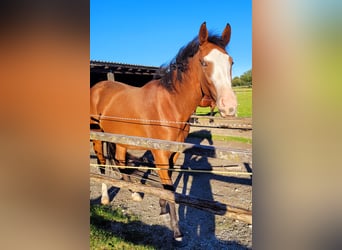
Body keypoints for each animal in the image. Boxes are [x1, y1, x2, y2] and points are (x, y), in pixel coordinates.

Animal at [89, 22, 236, 241]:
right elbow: (168, 186)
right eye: (204, 63)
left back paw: (134, 192)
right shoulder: (159, 152)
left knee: (121, 162)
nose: (230, 107)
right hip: (98, 136)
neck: (169, 105)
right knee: (102, 163)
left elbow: (168, 183)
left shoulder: (173, 153)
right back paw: (106, 198)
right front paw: (177, 232)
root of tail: (97, 88)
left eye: (231, 62)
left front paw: (162, 207)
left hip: (121, 140)